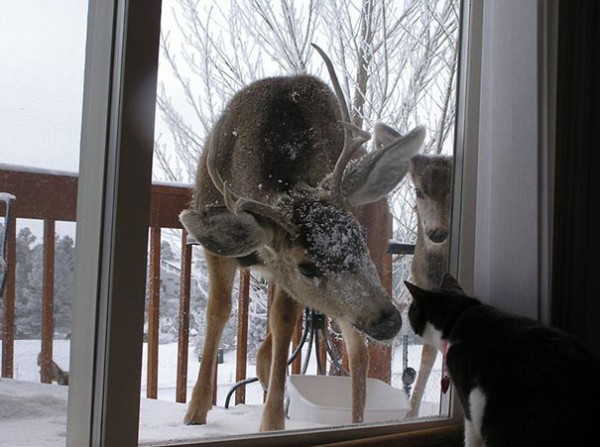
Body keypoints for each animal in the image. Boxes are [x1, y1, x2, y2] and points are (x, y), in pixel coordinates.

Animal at [178, 44, 426, 430]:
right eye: (306, 266)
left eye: (358, 236)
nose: (388, 320)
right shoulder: (223, 250)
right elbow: (219, 310)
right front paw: (195, 412)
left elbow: (281, 321)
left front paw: (271, 423)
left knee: (356, 352)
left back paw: (353, 421)